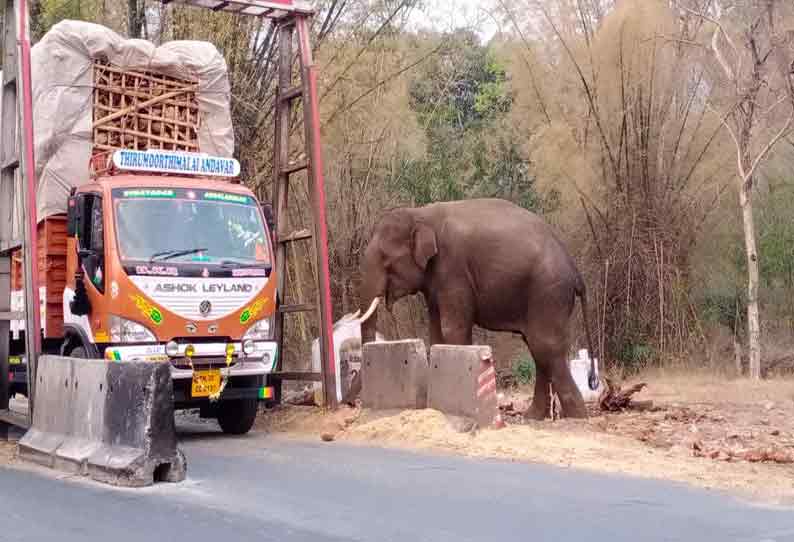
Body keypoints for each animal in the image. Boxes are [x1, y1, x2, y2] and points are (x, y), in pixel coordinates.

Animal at [358, 199, 592, 420]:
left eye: (386, 260)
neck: (421, 213)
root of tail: (576, 272)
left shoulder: (453, 269)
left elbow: (452, 328)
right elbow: (436, 332)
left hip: (547, 291)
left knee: (545, 346)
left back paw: (577, 417)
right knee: (536, 347)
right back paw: (534, 417)